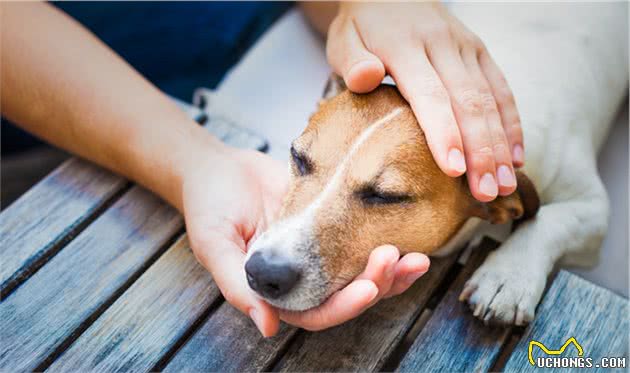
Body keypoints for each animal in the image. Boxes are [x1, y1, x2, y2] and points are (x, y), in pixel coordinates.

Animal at [244, 1, 628, 324]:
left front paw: (508, 276)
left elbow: (550, 220)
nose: (263, 272)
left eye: (386, 196)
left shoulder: (593, 208)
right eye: (298, 158)